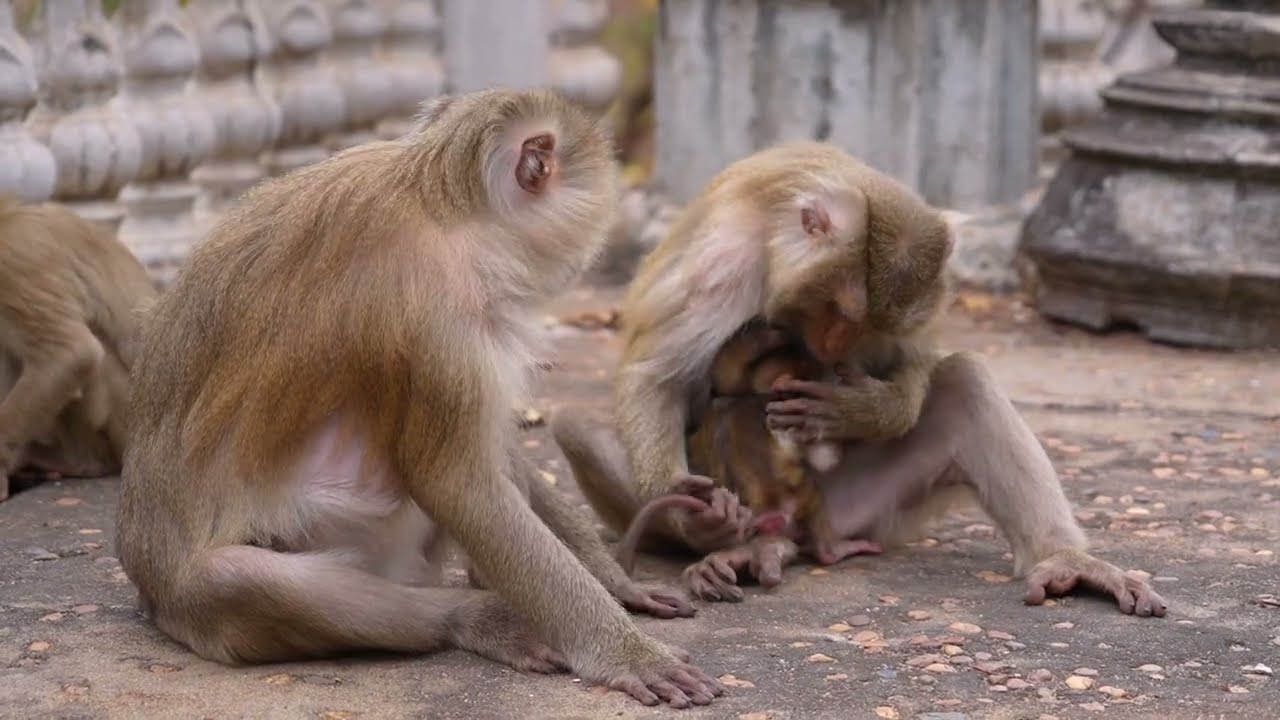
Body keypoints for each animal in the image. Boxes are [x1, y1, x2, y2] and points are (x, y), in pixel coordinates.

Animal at [113, 89, 725, 709]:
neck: (442, 203)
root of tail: (148, 597)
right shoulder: (440, 313)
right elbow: (457, 484)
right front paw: (626, 653)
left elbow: (491, 456)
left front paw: (616, 582)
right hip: (219, 599)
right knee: (236, 578)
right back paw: (471, 616)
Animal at [553, 141, 1167, 617]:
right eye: (840, 310)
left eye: (870, 325)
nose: (832, 348)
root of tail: (801, 526)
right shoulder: (721, 259)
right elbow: (656, 376)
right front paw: (688, 510)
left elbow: (918, 362)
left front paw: (867, 411)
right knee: (573, 422)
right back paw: (724, 543)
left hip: (863, 511)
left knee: (964, 381)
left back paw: (1064, 561)